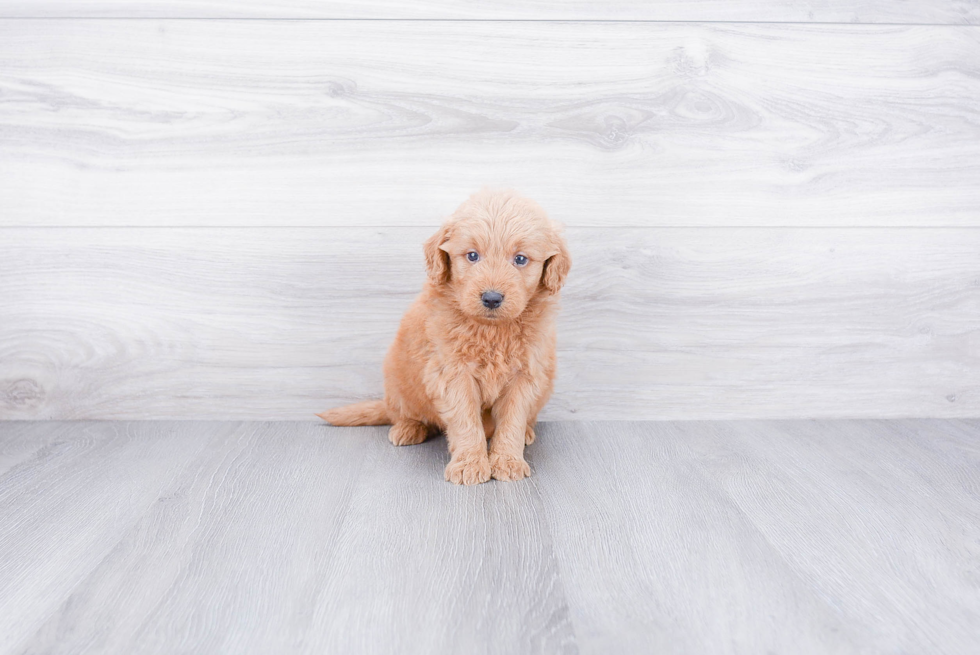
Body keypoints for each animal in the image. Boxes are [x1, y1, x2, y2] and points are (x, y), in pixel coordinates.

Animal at [318, 187, 572, 484]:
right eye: (472, 256)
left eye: (520, 259)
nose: (492, 298)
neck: (491, 330)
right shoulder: (453, 373)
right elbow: (465, 420)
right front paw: (469, 464)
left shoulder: (525, 374)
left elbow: (512, 420)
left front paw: (508, 460)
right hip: (398, 382)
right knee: (404, 413)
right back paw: (408, 429)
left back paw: (528, 434)